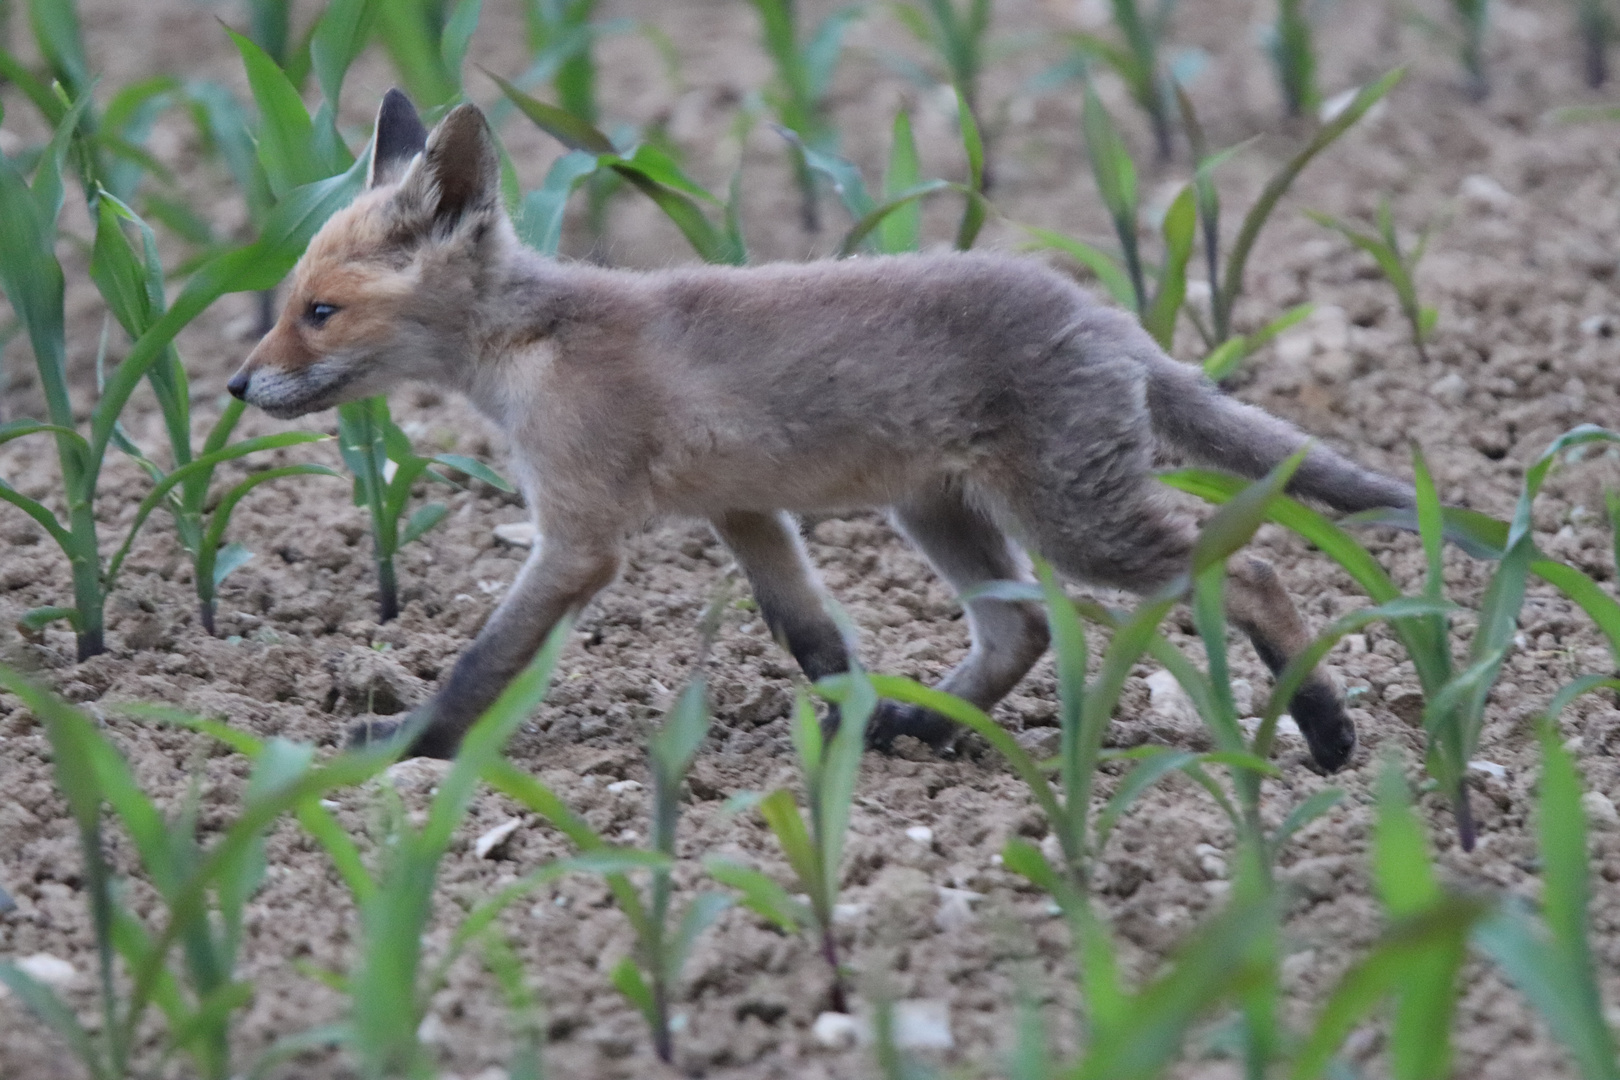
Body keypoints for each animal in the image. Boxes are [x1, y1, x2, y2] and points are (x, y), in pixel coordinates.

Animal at [231, 90, 1419, 767]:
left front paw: (407, 746)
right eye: (287, 302)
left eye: (318, 311)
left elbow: (482, 664)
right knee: (1024, 632)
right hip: (938, 513)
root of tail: (1110, 314)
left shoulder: (578, 539)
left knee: (1251, 565)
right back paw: (926, 727)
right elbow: (813, 638)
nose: (239, 386)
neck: (535, 344)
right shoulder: (745, 511)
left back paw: (1324, 729)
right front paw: (848, 728)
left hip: (1075, 520)